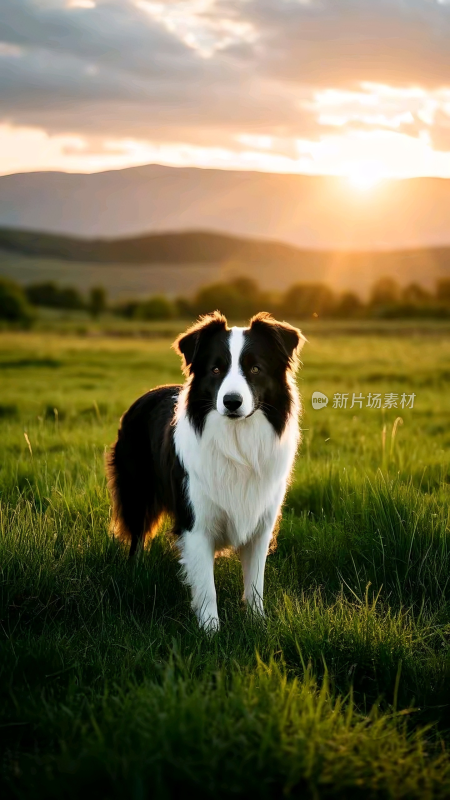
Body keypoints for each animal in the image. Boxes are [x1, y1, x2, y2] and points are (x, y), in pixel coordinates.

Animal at [108, 312, 304, 632]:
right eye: (215, 369)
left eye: (255, 368)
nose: (232, 402)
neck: (237, 441)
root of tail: (146, 395)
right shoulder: (195, 523)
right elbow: (207, 587)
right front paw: (211, 632)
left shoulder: (260, 525)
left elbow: (255, 583)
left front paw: (257, 623)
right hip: (137, 491)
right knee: (137, 537)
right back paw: (134, 573)